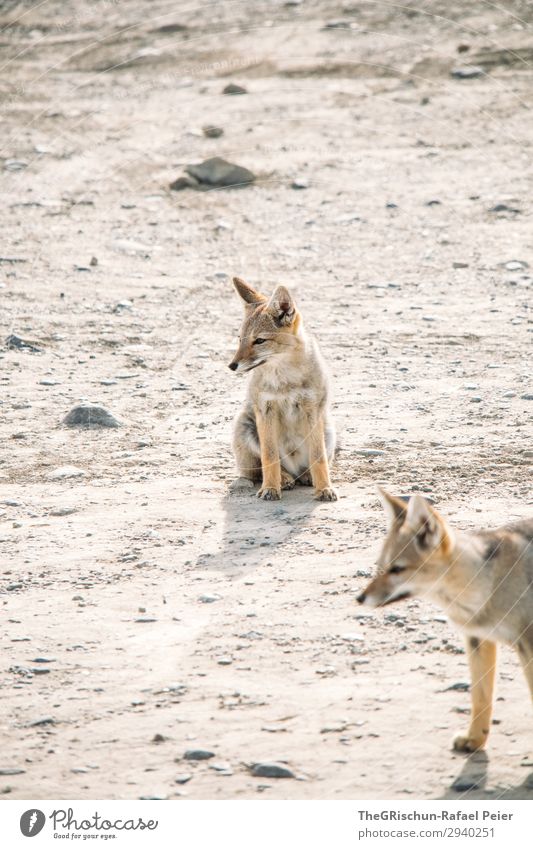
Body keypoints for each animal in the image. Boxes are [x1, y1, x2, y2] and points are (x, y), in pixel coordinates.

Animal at [227, 274, 334, 500]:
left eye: (259, 341)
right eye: (240, 340)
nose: (231, 365)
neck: (286, 380)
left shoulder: (312, 409)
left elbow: (318, 457)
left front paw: (324, 489)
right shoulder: (266, 409)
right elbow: (269, 456)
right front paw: (270, 488)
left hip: (328, 430)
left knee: (309, 466)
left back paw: (306, 476)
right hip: (245, 426)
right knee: (257, 471)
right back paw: (283, 479)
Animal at [358, 486, 532, 752]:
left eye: (397, 569)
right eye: (380, 567)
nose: (360, 598)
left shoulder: (527, 645)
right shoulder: (478, 639)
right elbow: (480, 698)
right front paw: (475, 739)